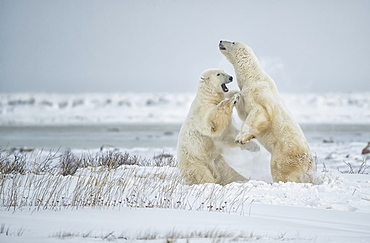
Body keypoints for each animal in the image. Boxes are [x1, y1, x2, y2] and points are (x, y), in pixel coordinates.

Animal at [218, 40, 316, 183]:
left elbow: (259, 112)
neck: (253, 76)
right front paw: (230, 96)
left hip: (284, 154)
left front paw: (239, 138)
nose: (221, 41)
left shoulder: (260, 95)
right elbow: (243, 109)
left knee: (280, 169)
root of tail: (309, 163)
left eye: (233, 42)